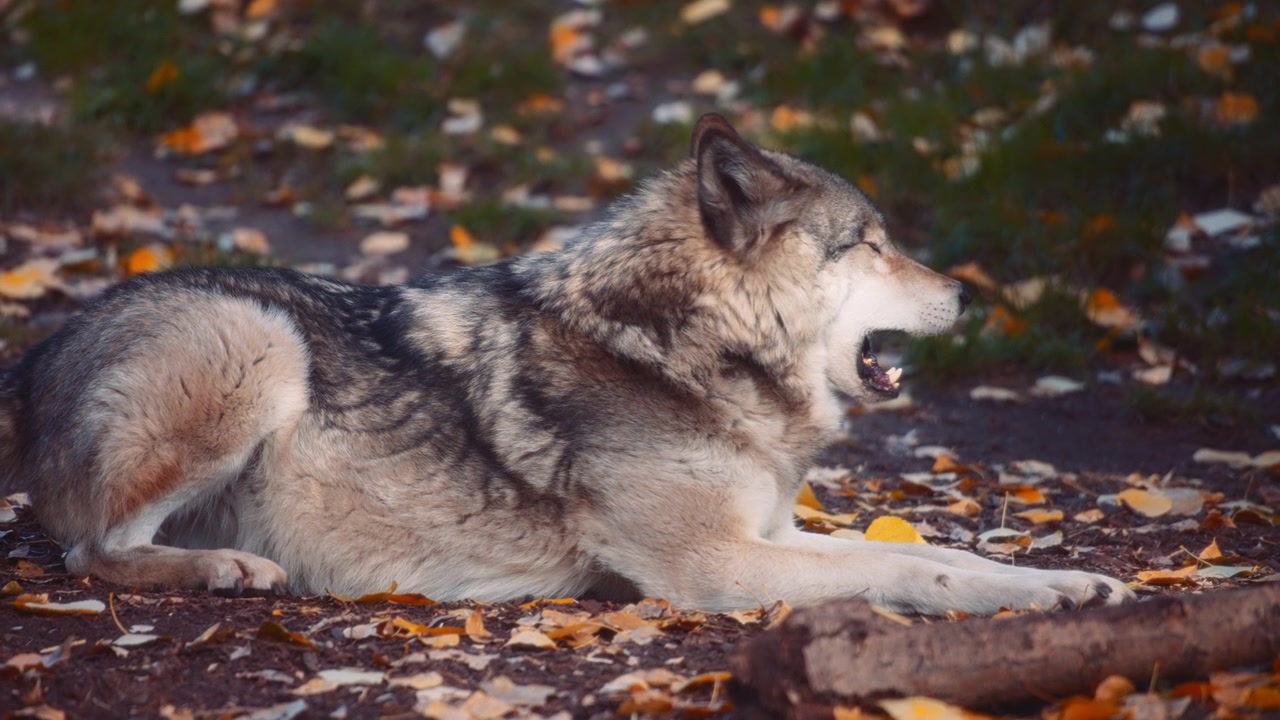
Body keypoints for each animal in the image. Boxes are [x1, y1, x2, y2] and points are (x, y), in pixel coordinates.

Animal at [0, 114, 1132, 614]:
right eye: (871, 244)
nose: (969, 294)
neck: (678, 351)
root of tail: (43, 346)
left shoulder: (769, 531)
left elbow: (947, 552)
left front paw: (1069, 581)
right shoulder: (715, 564)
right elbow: (909, 564)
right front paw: (1035, 603)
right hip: (256, 342)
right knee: (90, 552)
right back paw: (231, 569)